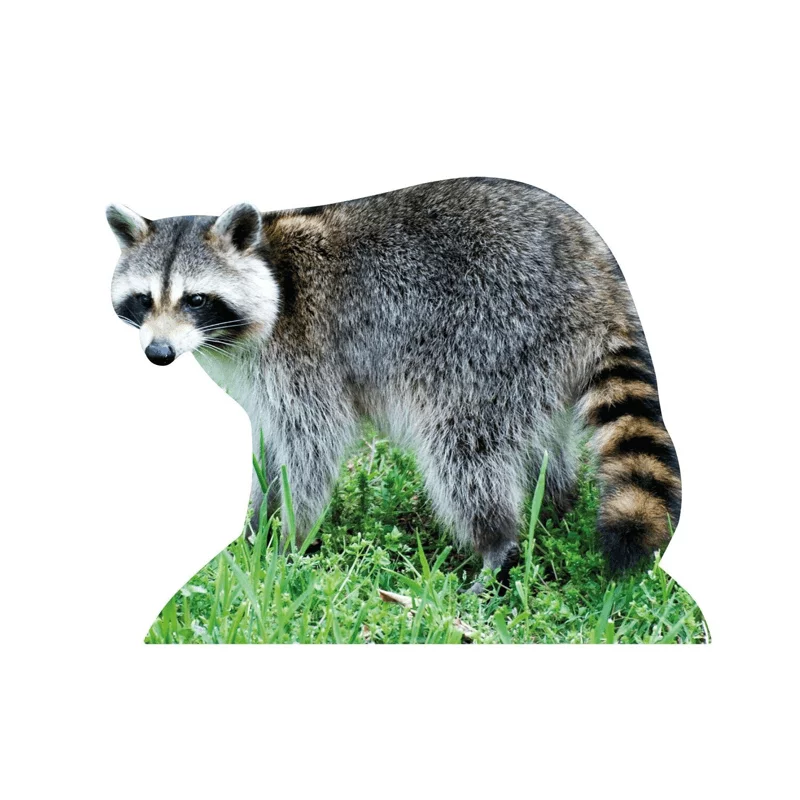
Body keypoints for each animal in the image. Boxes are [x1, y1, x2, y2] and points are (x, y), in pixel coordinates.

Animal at [108, 178, 681, 589]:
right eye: (144, 299)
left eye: (196, 299)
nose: (158, 354)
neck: (270, 270)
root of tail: (599, 271)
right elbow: (268, 446)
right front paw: (254, 531)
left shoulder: (303, 353)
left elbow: (312, 445)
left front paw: (286, 540)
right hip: (536, 358)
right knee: (538, 440)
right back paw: (554, 508)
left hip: (496, 330)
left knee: (462, 446)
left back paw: (497, 544)